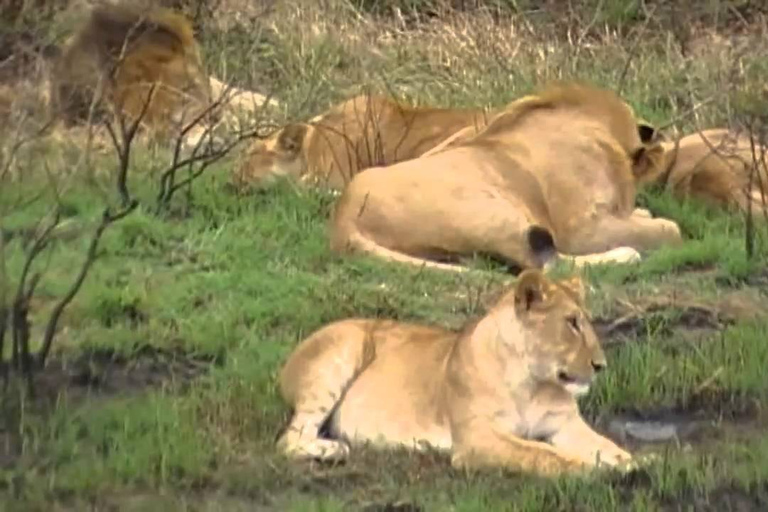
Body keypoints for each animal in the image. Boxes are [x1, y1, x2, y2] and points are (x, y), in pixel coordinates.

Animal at [330, 81, 684, 272]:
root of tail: (342, 218)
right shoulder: (580, 229)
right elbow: (671, 228)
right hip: (492, 212)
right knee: (544, 261)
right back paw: (626, 255)